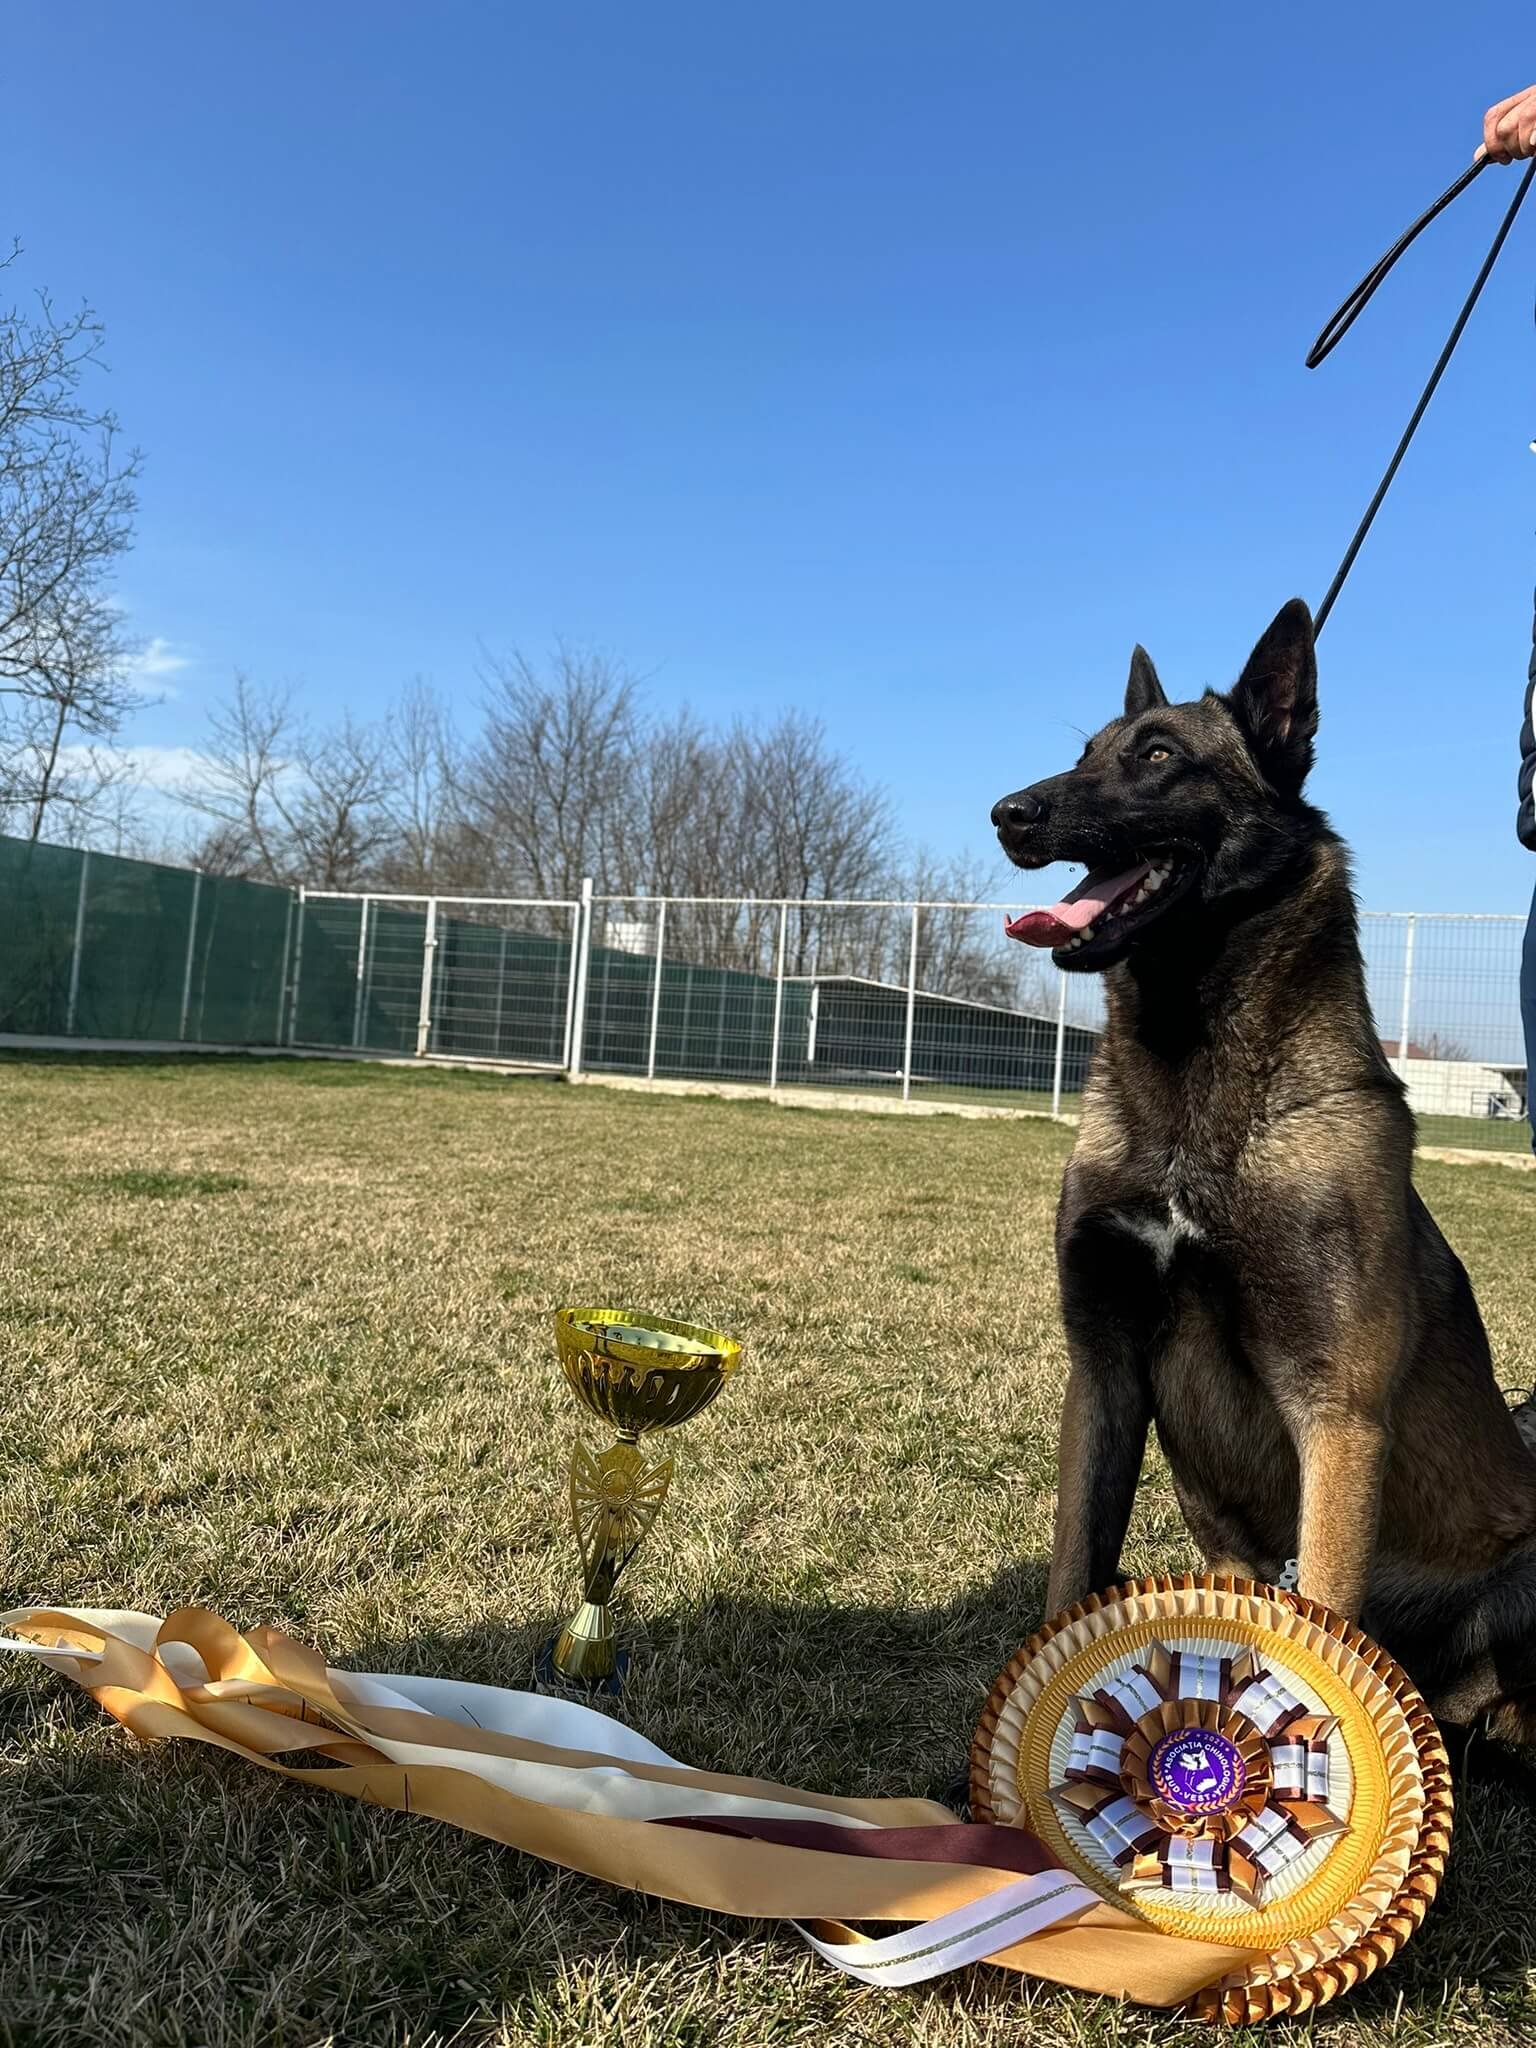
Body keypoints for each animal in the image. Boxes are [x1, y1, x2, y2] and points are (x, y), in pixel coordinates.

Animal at [991, 598, 1536, 1744]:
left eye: (1159, 756)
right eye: (1085, 755)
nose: (1009, 814)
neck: (1194, 1104)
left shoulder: (1337, 1416)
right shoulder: (1103, 1372)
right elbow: (1069, 1579)